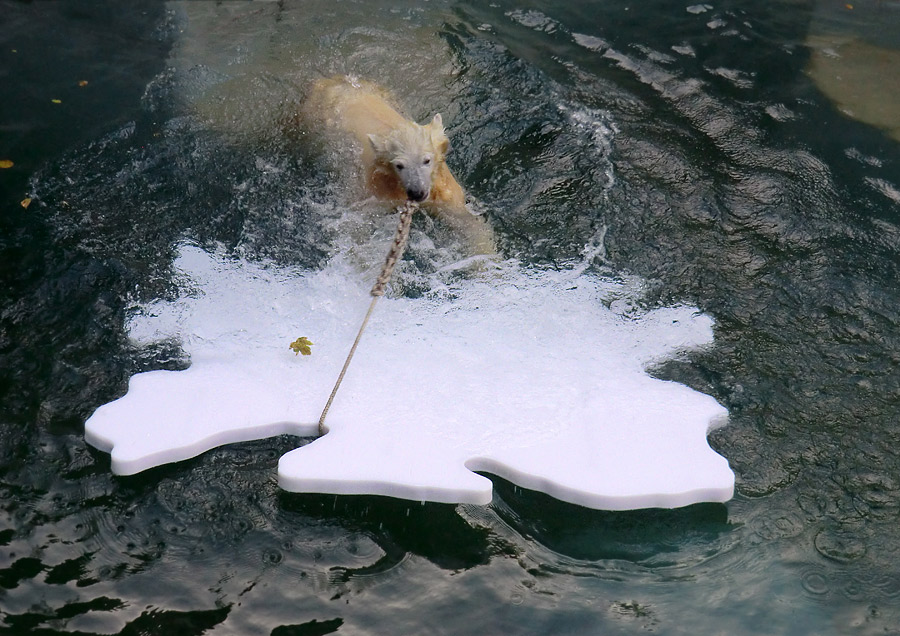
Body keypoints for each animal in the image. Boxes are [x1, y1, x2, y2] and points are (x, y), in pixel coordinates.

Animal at [306, 76, 496, 252]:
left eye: (427, 160)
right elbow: (356, 221)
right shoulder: (377, 190)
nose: (416, 192)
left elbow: (468, 222)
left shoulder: (444, 192)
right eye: (399, 165)